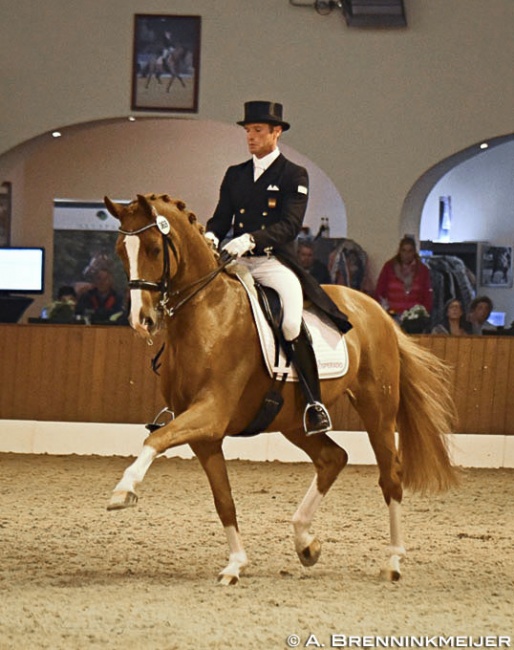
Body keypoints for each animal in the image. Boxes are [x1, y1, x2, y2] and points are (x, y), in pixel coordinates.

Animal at [102, 191, 454, 584]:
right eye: (120, 250)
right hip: (292, 421)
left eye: (152, 248)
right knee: (332, 458)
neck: (207, 312)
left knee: (389, 476)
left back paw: (392, 561)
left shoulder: (211, 412)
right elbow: (223, 499)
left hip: (377, 408)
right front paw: (236, 564)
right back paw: (305, 542)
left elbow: (155, 440)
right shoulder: (204, 434)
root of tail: (376, 311)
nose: (141, 321)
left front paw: (123, 490)